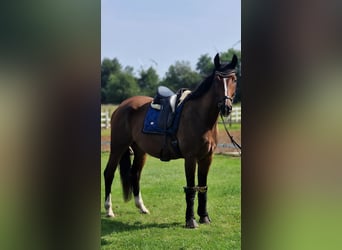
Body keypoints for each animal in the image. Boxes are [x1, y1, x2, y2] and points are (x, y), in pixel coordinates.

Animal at [104, 53, 238, 229]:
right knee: (109, 173)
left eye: (234, 79)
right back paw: (109, 210)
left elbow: (203, 187)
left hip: (140, 150)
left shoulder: (207, 157)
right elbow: (191, 188)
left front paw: (204, 217)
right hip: (118, 146)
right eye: (217, 79)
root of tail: (121, 106)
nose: (226, 107)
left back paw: (142, 207)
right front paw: (190, 221)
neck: (200, 117)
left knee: (135, 174)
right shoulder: (190, 158)